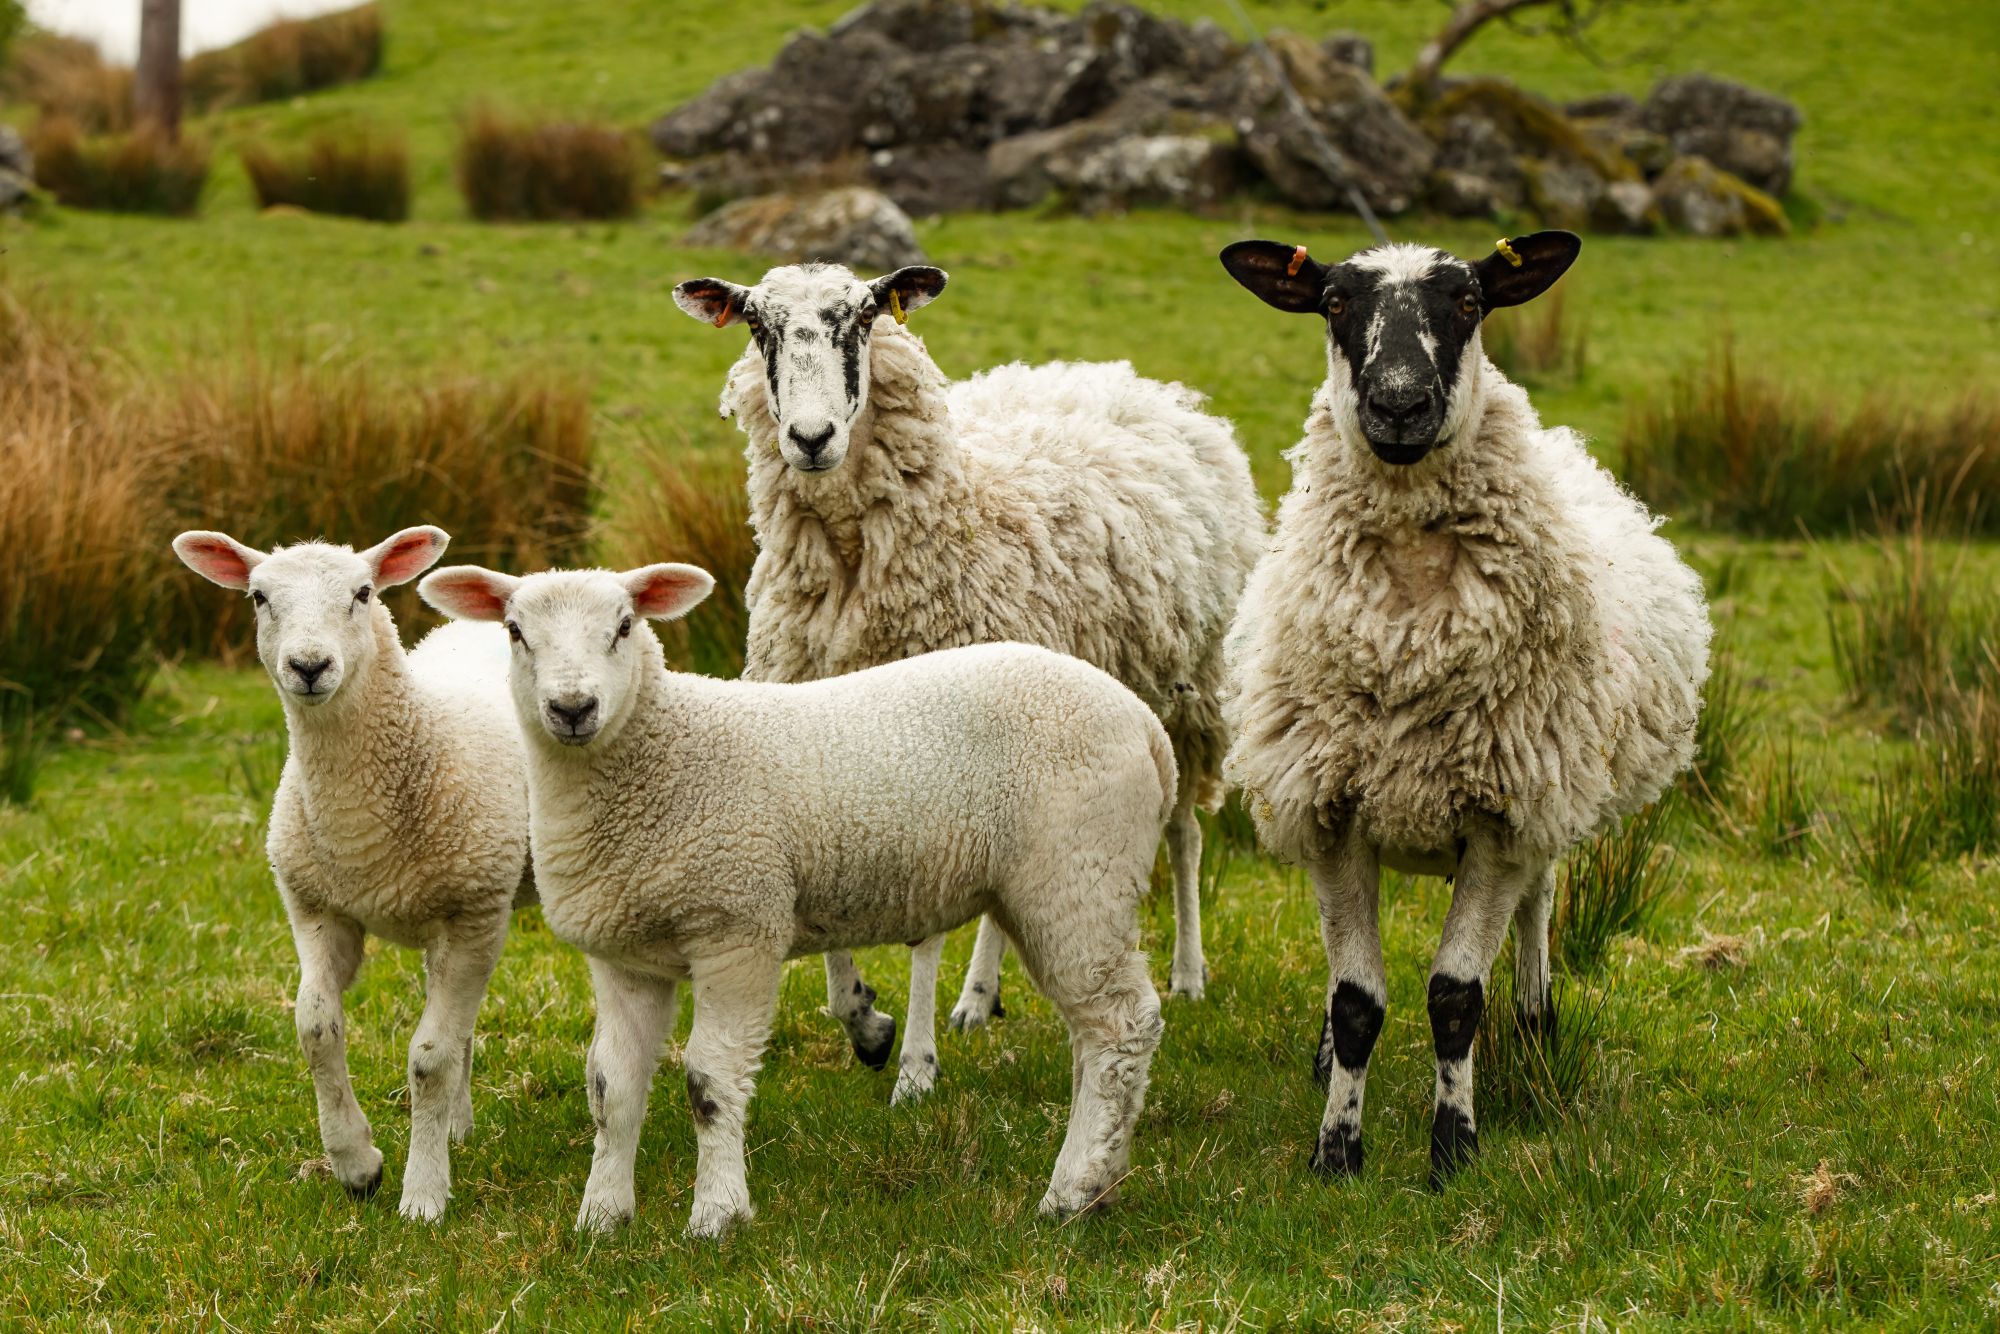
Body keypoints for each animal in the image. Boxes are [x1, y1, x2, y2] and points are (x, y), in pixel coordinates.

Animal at [172, 526, 531, 1222]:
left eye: (363, 593)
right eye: (258, 597)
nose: (309, 667)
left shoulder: (475, 911)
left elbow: (429, 1059)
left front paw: (423, 1194)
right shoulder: (317, 907)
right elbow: (315, 1027)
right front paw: (356, 1163)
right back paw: (456, 1127)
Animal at [417, 561, 1172, 1238]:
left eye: (625, 626)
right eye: (516, 631)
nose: (572, 709)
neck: (660, 758)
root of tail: (1143, 722)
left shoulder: (738, 928)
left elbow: (710, 1082)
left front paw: (716, 1216)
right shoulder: (626, 955)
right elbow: (611, 1090)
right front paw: (601, 1218)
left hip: (1078, 873)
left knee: (1122, 1027)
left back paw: (1070, 1193)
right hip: (1058, 886)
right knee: (1095, 1038)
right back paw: (1104, 1175)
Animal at [671, 261, 1263, 1105]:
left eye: (864, 318)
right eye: (758, 325)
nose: (811, 439)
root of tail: (1126, 380)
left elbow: (924, 934)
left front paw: (914, 1070)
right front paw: (863, 1019)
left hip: (1183, 693)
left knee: (1184, 834)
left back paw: (1187, 973)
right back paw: (979, 1000)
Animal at [1215, 231, 1710, 1188]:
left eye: (1471, 301)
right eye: (1333, 301)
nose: (1400, 404)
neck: (1411, 626)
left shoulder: (1501, 817)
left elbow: (1453, 996)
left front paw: (1453, 1149)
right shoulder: (1334, 811)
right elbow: (1358, 998)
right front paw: (1337, 1150)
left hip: (1546, 793)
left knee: (1537, 907)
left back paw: (1537, 1025)